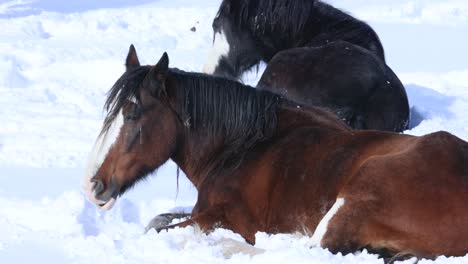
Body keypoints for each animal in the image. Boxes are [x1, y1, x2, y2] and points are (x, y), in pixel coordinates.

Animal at [84, 44, 468, 260]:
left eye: (133, 114)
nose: (93, 186)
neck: (243, 146)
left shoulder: (218, 217)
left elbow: (165, 230)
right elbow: (157, 220)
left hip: (355, 194)